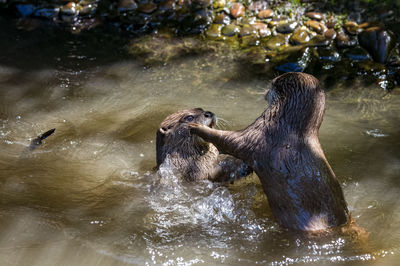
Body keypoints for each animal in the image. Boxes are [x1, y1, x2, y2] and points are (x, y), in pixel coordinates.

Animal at [189, 72, 348, 231]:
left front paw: (197, 127)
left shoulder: (257, 134)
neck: (287, 128)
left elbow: (228, 140)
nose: (267, 87)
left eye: (273, 83)